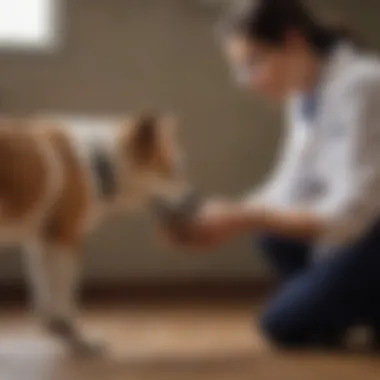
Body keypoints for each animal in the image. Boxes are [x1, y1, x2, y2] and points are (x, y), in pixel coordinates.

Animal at [0, 114, 190, 354]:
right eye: (172, 171)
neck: (101, 162)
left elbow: (43, 288)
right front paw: (77, 339)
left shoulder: (40, 241)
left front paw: (54, 328)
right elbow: (64, 293)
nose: (194, 202)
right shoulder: (64, 239)